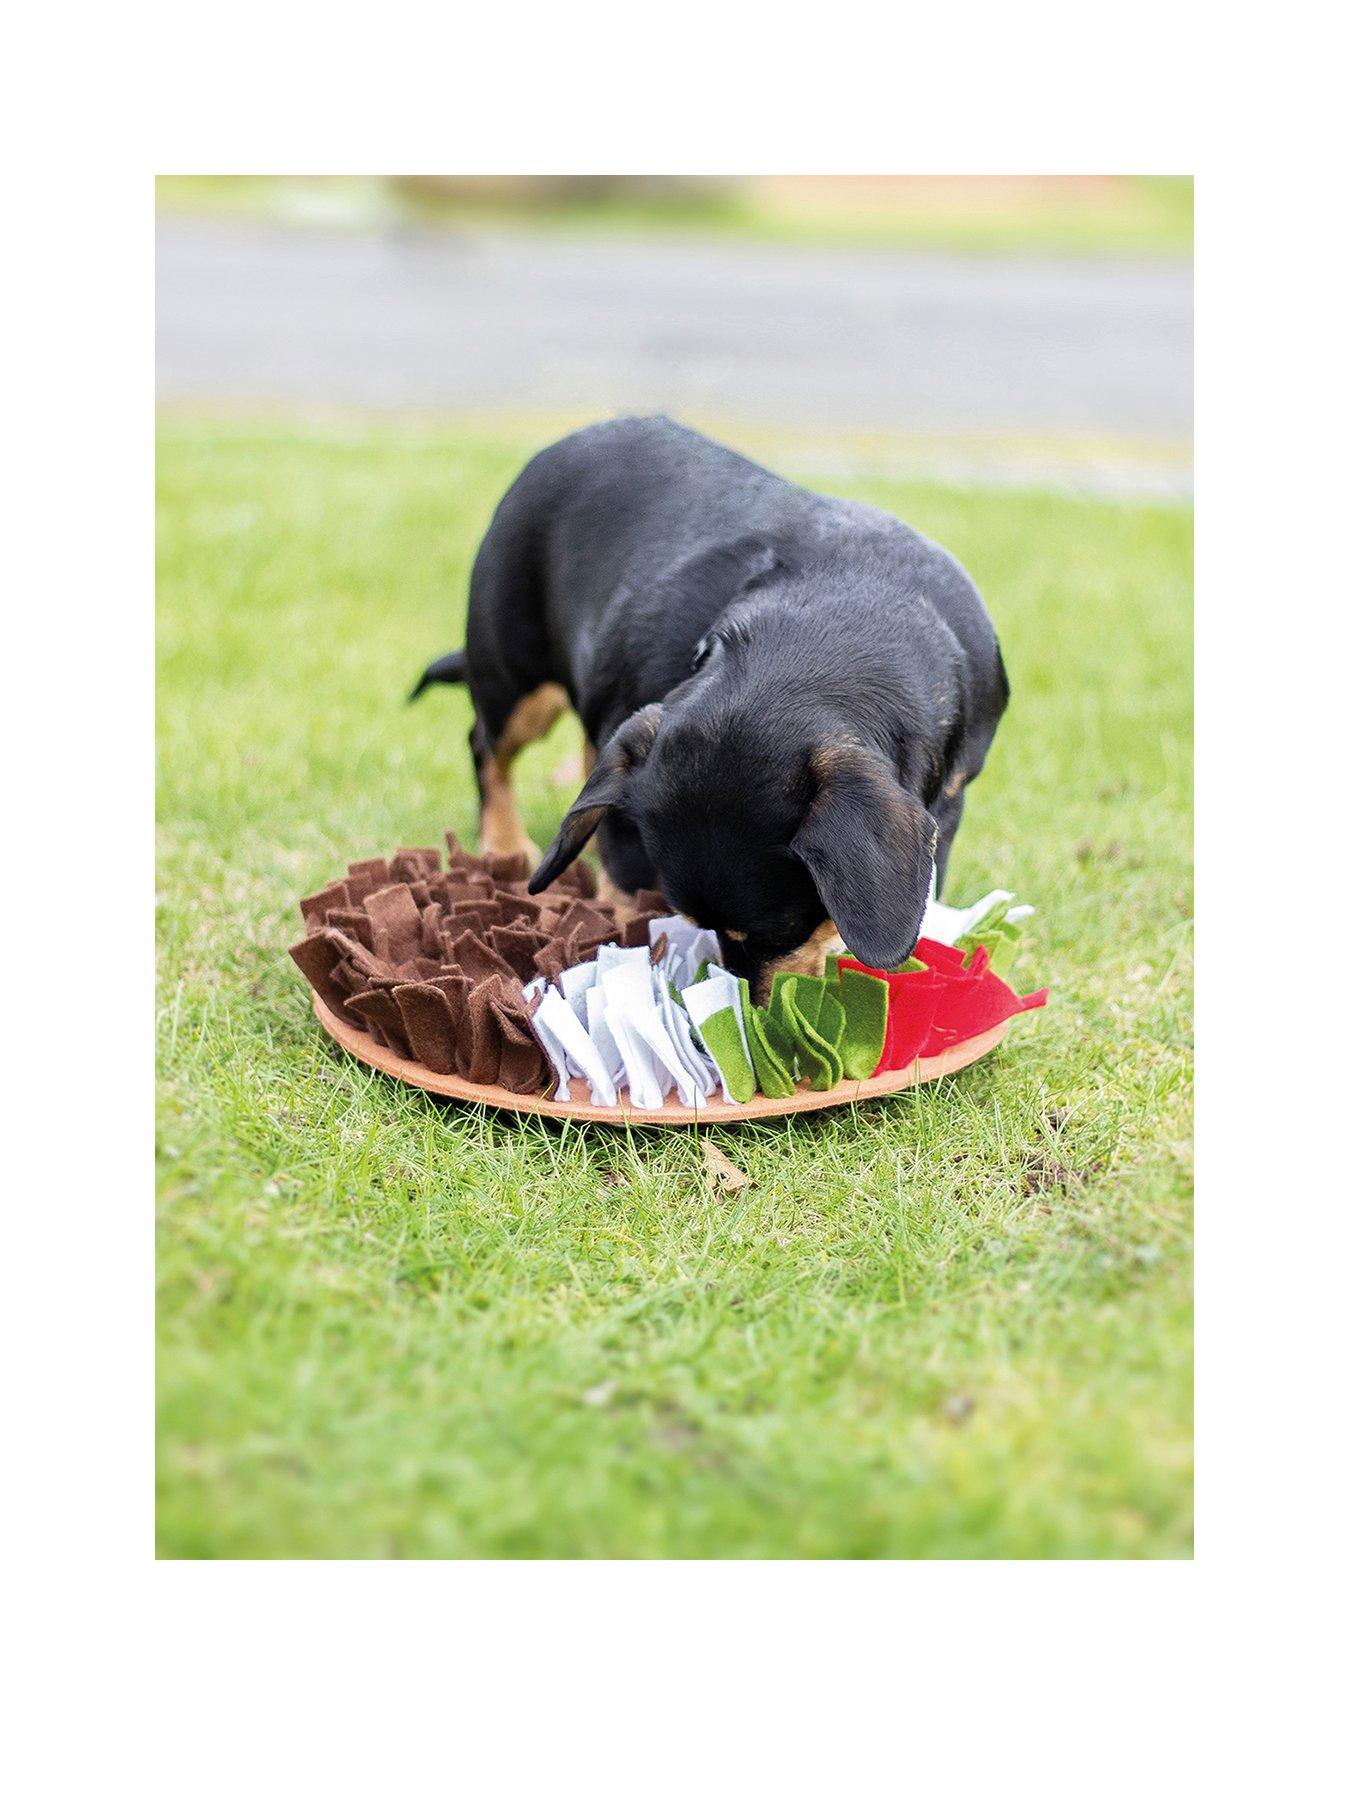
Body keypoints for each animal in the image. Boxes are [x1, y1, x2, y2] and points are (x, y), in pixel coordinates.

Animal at [406, 417, 1008, 1000]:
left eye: (783, 932)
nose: (753, 1007)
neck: (854, 610)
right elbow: (625, 889)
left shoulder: (947, 802)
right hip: (518, 683)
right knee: (487, 745)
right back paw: (503, 841)